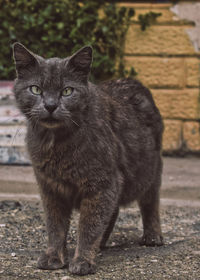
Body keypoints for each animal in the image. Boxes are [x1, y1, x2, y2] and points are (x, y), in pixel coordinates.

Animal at [12, 43, 163, 276]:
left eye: (67, 91)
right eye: (35, 89)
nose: (50, 105)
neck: (56, 144)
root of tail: (134, 82)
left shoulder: (101, 183)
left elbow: (89, 225)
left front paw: (83, 260)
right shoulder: (50, 188)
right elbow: (55, 226)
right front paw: (54, 257)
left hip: (149, 171)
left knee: (150, 202)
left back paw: (153, 236)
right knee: (114, 209)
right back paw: (102, 243)